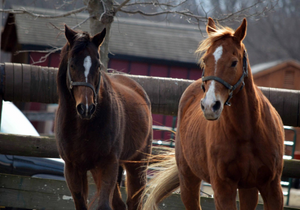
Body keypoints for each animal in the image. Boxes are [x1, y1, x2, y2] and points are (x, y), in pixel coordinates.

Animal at [55, 25, 152, 210]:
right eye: (72, 64)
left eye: (98, 66)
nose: (86, 108)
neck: (82, 126)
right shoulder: (72, 168)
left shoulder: (108, 164)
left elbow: (104, 205)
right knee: (120, 204)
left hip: (137, 164)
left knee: (134, 202)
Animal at [142, 17, 284, 210]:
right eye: (205, 61)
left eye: (234, 62)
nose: (210, 105)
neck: (248, 132)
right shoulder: (223, 188)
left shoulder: (272, 187)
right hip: (188, 179)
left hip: (248, 188)